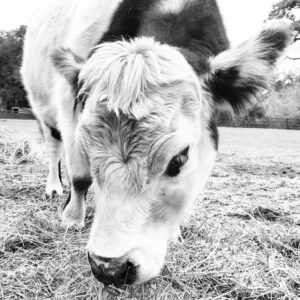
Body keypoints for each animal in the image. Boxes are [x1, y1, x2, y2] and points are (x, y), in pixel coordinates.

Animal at [20, 0, 288, 286]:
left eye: (178, 159)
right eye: (88, 151)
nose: (108, 268)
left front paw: (175, 232)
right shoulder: (68, 109)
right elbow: (81, 178)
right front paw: (72, 218)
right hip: (44, 111)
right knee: (54, 149)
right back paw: (54, 188)